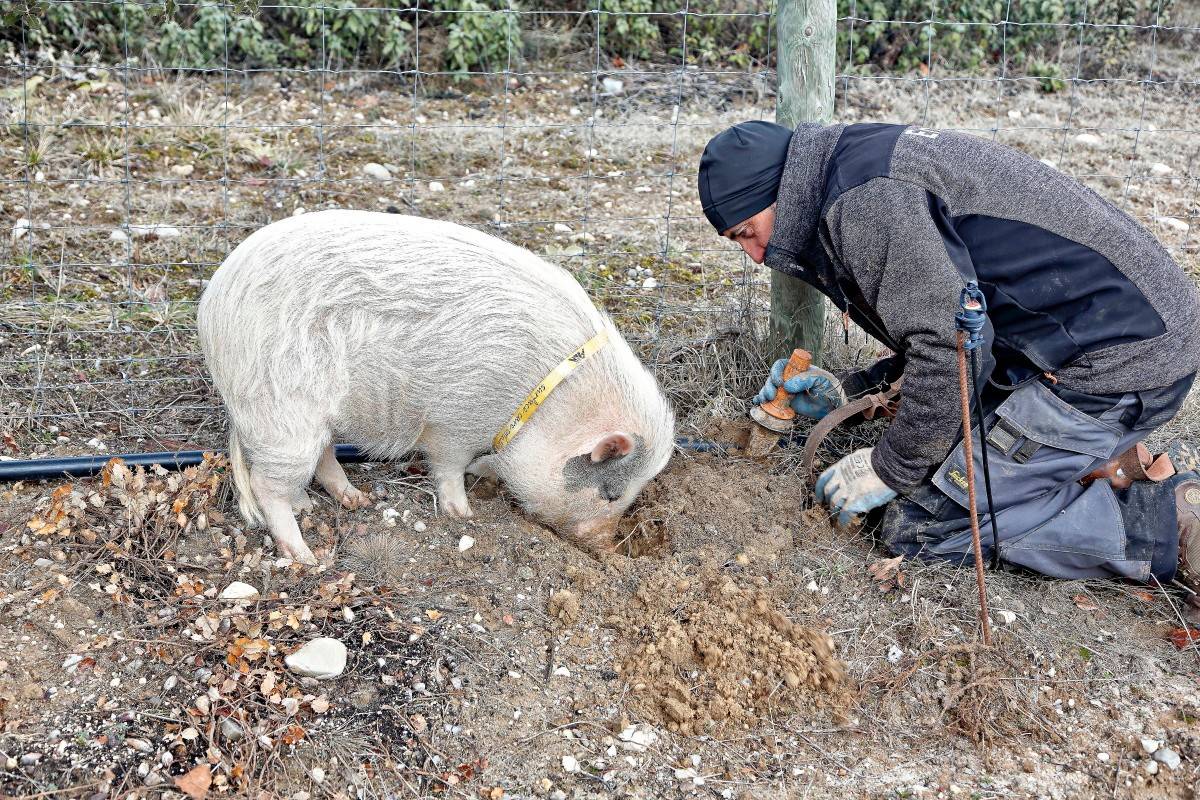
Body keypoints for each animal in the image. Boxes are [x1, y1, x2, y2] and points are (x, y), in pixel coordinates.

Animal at [201, 209, 681, 566]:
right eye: (611, 493)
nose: (608, 549)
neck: (542, 401)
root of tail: (213, 314)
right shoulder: (455, 419)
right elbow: (448, 466)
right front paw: (463, 514)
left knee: (319, 459)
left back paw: (353, 501)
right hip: (282, 409)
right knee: (267, 484)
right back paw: (304, 555)